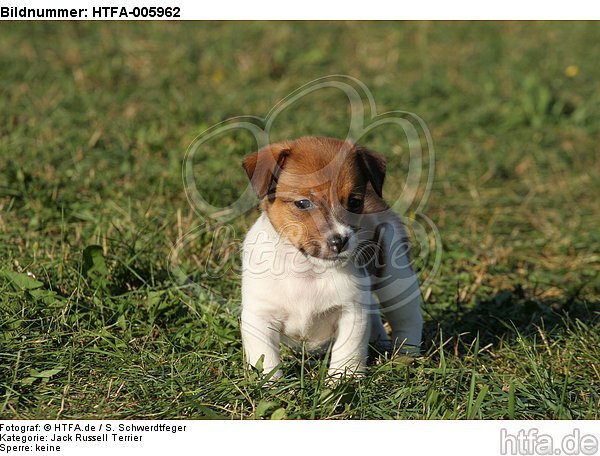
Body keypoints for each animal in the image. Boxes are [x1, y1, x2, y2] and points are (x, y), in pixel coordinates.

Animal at [239, 135, 422, 378]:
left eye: (354, 202)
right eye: (303, 203)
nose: (340, 240)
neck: (308, 271)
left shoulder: (351, 313)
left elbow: (347, 354)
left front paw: (343, 382)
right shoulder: (259, 316)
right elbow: (266, 359)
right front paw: (271, 385)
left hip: (396, 278)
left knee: (408, 317)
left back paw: (406, 355)